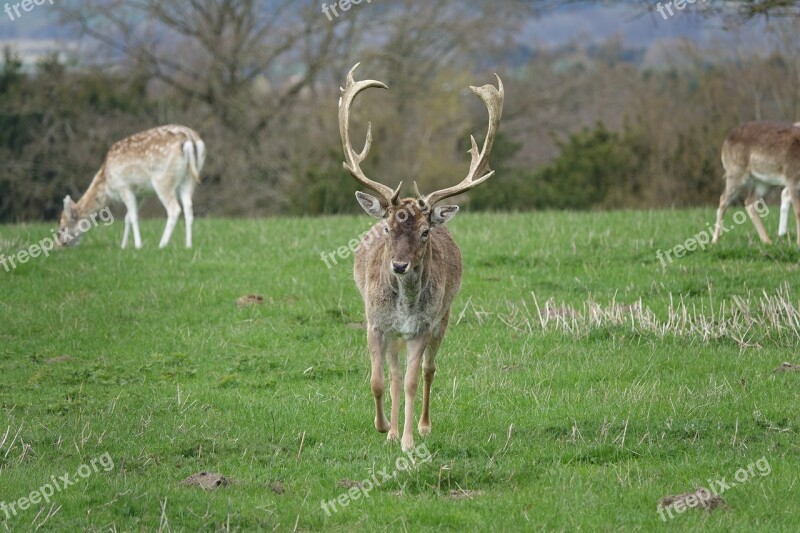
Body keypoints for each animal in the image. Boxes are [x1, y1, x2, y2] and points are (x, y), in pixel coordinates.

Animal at [57, 124, 205, 249]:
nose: (60, 245)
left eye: (62, 228)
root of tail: (190, 140)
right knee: (188, 207)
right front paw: (123, 246)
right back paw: (188, 245)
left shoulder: (124, 187)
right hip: (189, 178)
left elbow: (133, 216)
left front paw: (138, 246)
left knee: (174, 209)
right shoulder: (140, 194)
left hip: (162, 179)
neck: (106, 184)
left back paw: (162, 245)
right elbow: (127, 217)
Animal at [340, 64, 506, 450]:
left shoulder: (421, 328)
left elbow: (414, 381)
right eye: (388, 228)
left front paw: (408, 441)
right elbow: (379, 380)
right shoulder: (375, 323)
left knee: (430, 370)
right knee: (394, 373)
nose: (399, 265)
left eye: (425, 232)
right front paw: (385, 429)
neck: (403, 306)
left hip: (442, 318)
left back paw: (424, 426)